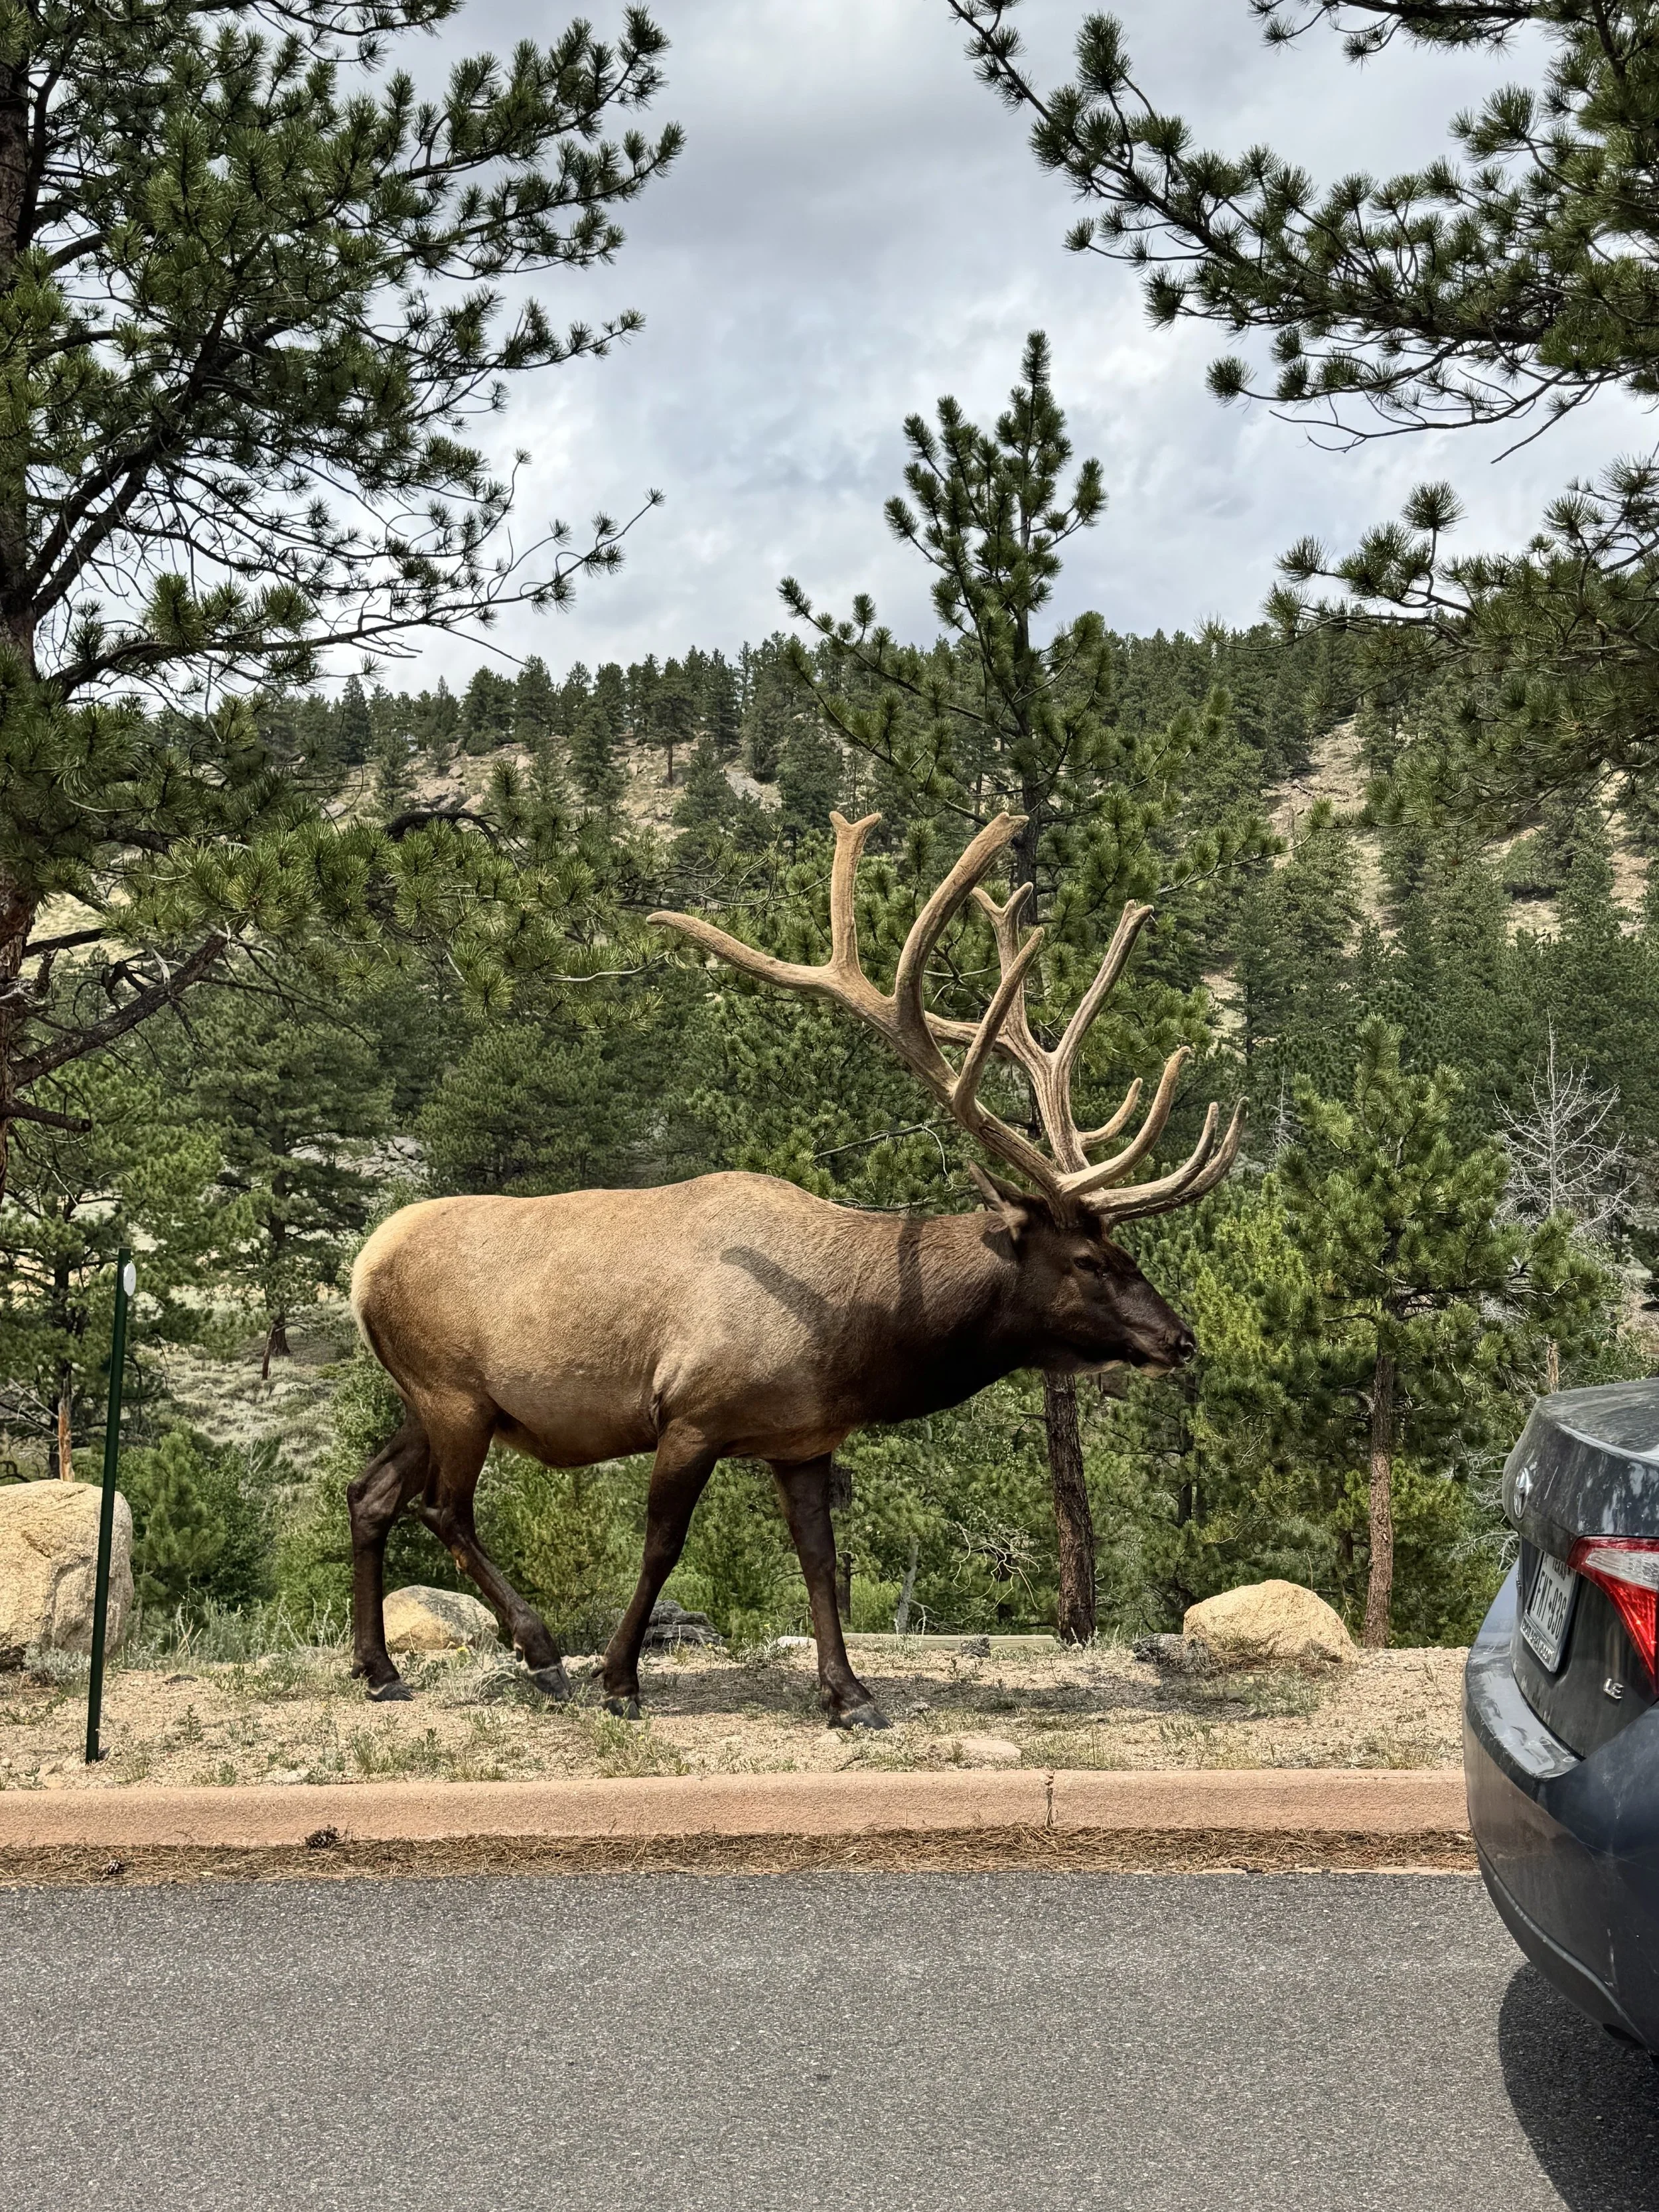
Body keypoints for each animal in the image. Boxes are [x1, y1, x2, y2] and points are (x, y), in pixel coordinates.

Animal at [347, 810, 1241, 1725]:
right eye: (1093, 1260)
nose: (1179, 1340)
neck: (856, 1342)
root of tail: (364, 1265)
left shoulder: (804, 1440)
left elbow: (817, 1559)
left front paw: (848, 1693)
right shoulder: (690, 1415)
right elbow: (662, 1547)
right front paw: (621, 1680)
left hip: (429, 1400)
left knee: (370, 1494)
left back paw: (381, 1669)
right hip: (455, 1394)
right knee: (443, 1508)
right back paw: (541, 1653)